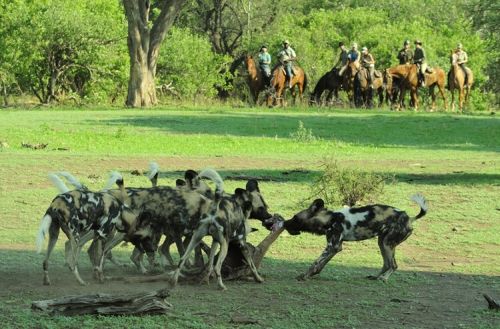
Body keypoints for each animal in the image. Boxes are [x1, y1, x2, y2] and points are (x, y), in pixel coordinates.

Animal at [276, 193, 428, 280]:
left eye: (295, 218)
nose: (284, 222)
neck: (330, 219)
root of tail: (409, 218)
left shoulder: (332, 246)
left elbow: (315, 263)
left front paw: (305, 275)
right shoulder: (336, 247)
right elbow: (321, 265)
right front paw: (313, 275)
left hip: (386, 244)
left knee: (393, 265)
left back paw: (384, 278)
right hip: (383, 243)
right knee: (386, 264)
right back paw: (376, 276)